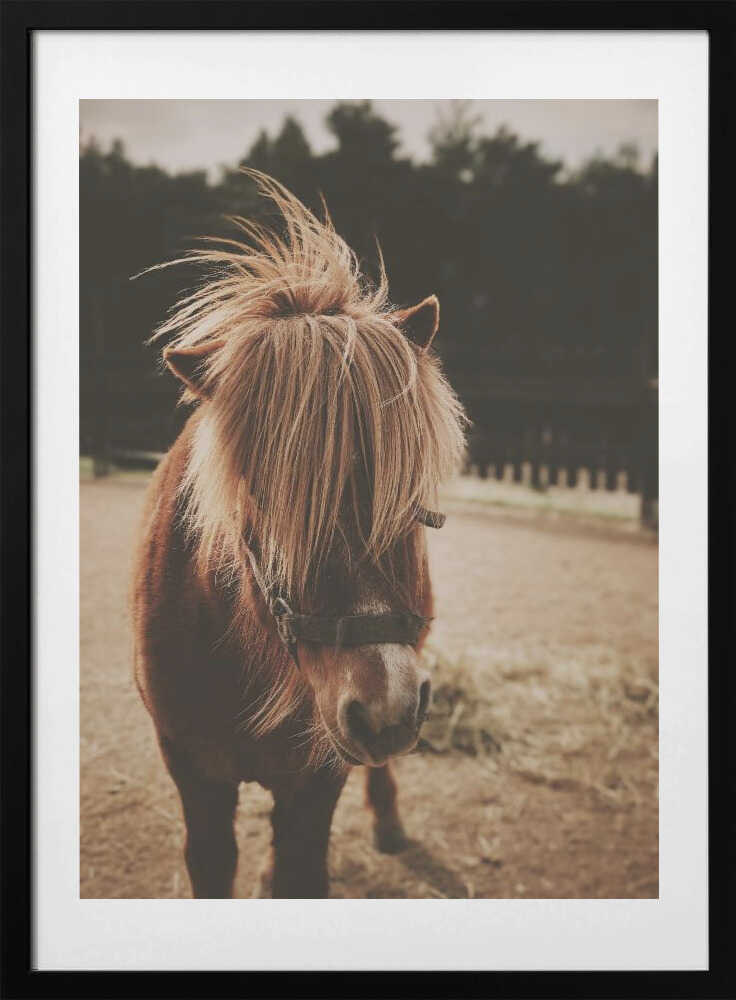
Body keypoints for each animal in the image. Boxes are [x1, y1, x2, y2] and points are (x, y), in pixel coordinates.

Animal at [132, 172, 467, 898]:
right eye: (264, 497)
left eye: (408, 492)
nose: (384, 707)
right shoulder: (195, 778)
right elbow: (214, 864)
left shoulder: (317, 782)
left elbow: (300, 868)